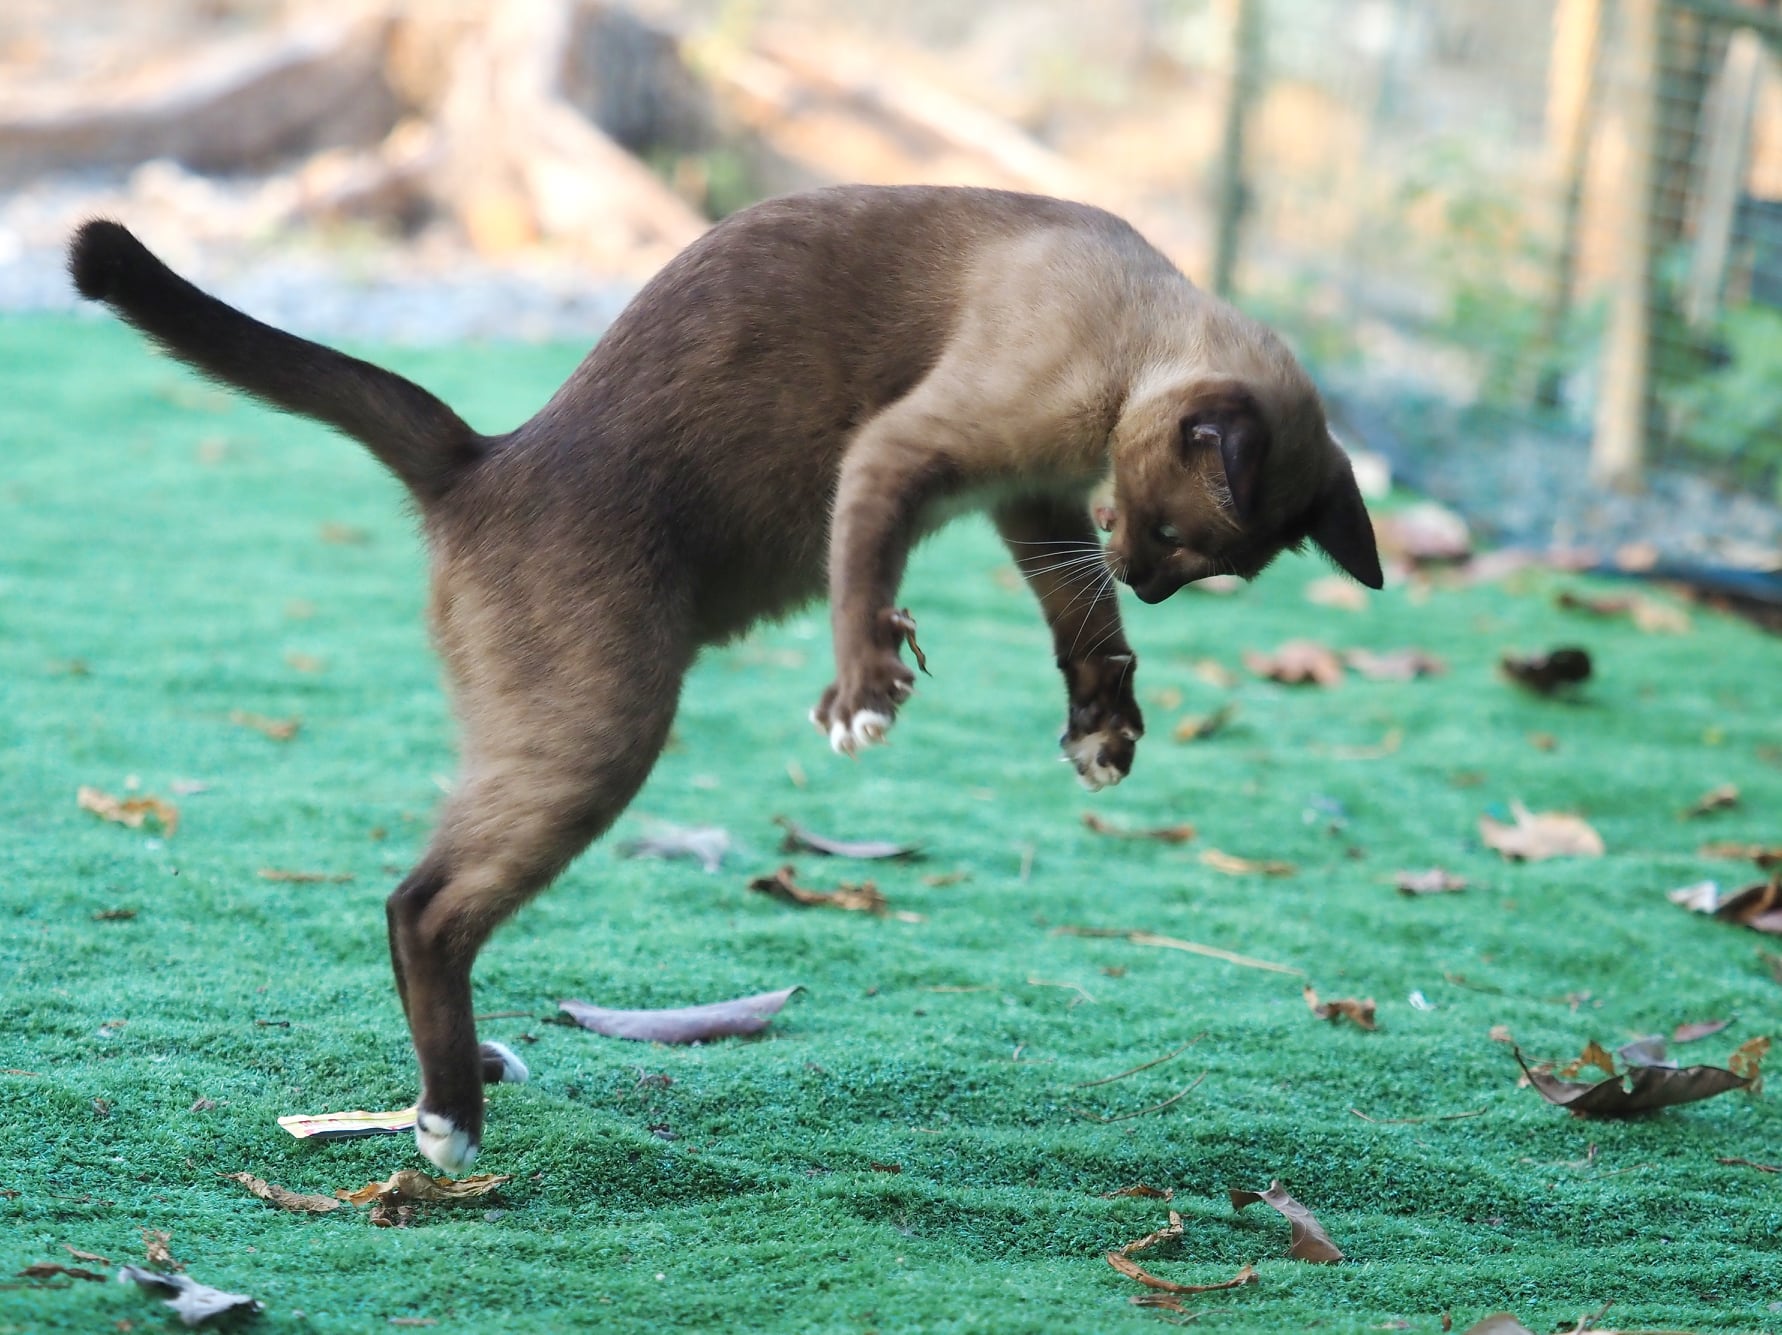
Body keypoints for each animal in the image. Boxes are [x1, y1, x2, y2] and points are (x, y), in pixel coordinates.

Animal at [68, 184, 1381, 1173]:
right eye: (1167, 539)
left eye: (1203, 566)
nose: (1151, 581)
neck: (1131, 334)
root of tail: (480, 459)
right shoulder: (927, 456)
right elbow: (874, 579)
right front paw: (865, 699)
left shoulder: (1034, 503)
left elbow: (1080, 619)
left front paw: (1103, 731)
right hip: (604, 734)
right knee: (422, 907)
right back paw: (451, 1123)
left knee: (426, 900)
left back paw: (471, 1078)